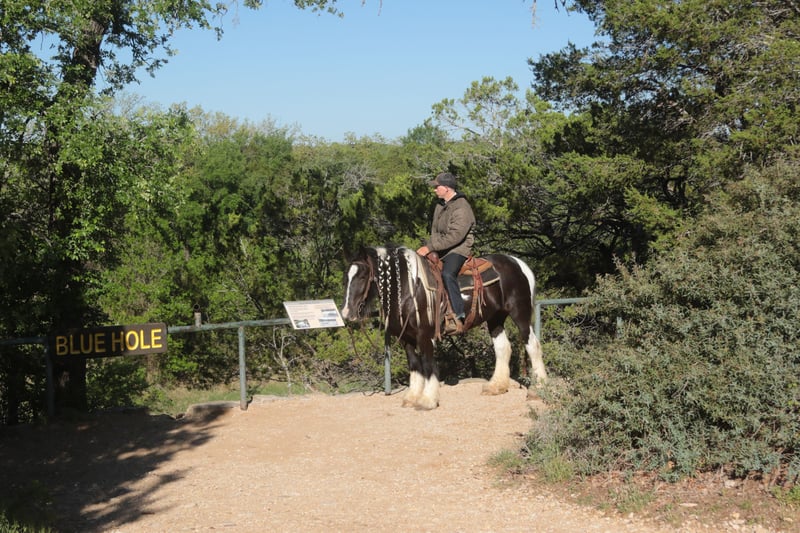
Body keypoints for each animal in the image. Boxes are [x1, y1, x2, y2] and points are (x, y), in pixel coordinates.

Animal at [340, 245, 547, 410]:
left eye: (362, 275)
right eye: (347, 277)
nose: (347, 312)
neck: (409, 287)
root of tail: (518, 263)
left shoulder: (425, 335)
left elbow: (428, 364)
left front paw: (427, 400)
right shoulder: (406, 338)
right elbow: (414, 365)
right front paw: (412, 397)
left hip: (520, 313)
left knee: (532, 345)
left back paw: (538, 390)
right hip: (495, 318)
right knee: (503, 347)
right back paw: (495, 386)